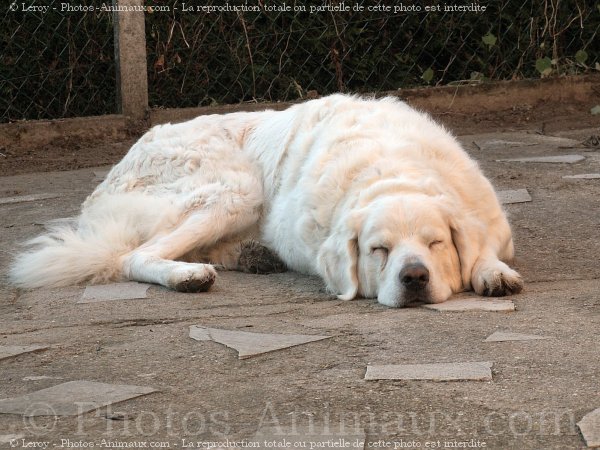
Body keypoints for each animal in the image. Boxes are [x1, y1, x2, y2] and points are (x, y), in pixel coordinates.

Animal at [10, 94, 524, 306]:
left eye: (436, 244)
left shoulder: (491, 223)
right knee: (132, 257)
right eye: (379, 250)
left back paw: (252, 257)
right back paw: (189, 277)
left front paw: (492, 273)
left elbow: (484, 248)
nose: (414, 277)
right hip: (237, 191)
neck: (392, 170)